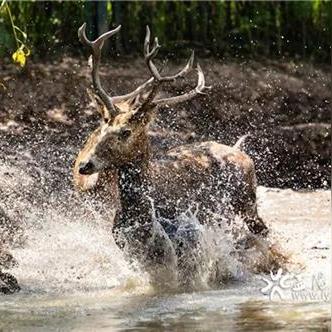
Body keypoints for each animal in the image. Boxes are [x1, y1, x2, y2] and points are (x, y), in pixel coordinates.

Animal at [73, 24, 282, 288]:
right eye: (102, 125)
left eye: (126, 131)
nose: (84, 165)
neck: (139, 210)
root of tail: (242, 152)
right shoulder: (124, 242)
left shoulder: (187, 233)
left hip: (247, 204)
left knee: (264, 234)